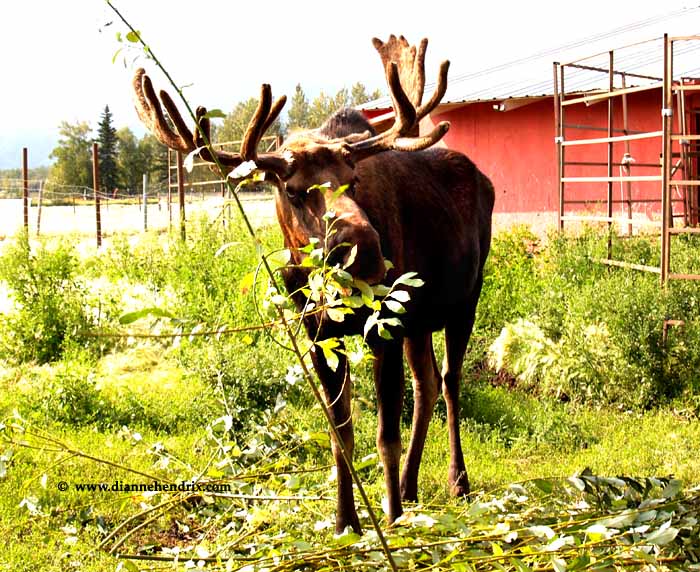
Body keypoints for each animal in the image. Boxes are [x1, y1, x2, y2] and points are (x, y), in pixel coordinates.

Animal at [131, 35, 492, 536]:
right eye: (294, 190)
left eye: (353, 180)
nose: (367, 254)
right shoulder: (319, 336)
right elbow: (340, 433)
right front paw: (346, 521)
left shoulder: (383, 328)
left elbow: (385, 434)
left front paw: (391, 519)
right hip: (418, 319)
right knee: (426, 386)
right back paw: (410, 485)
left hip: (465, 300)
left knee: (450, 382)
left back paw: (456, 480)